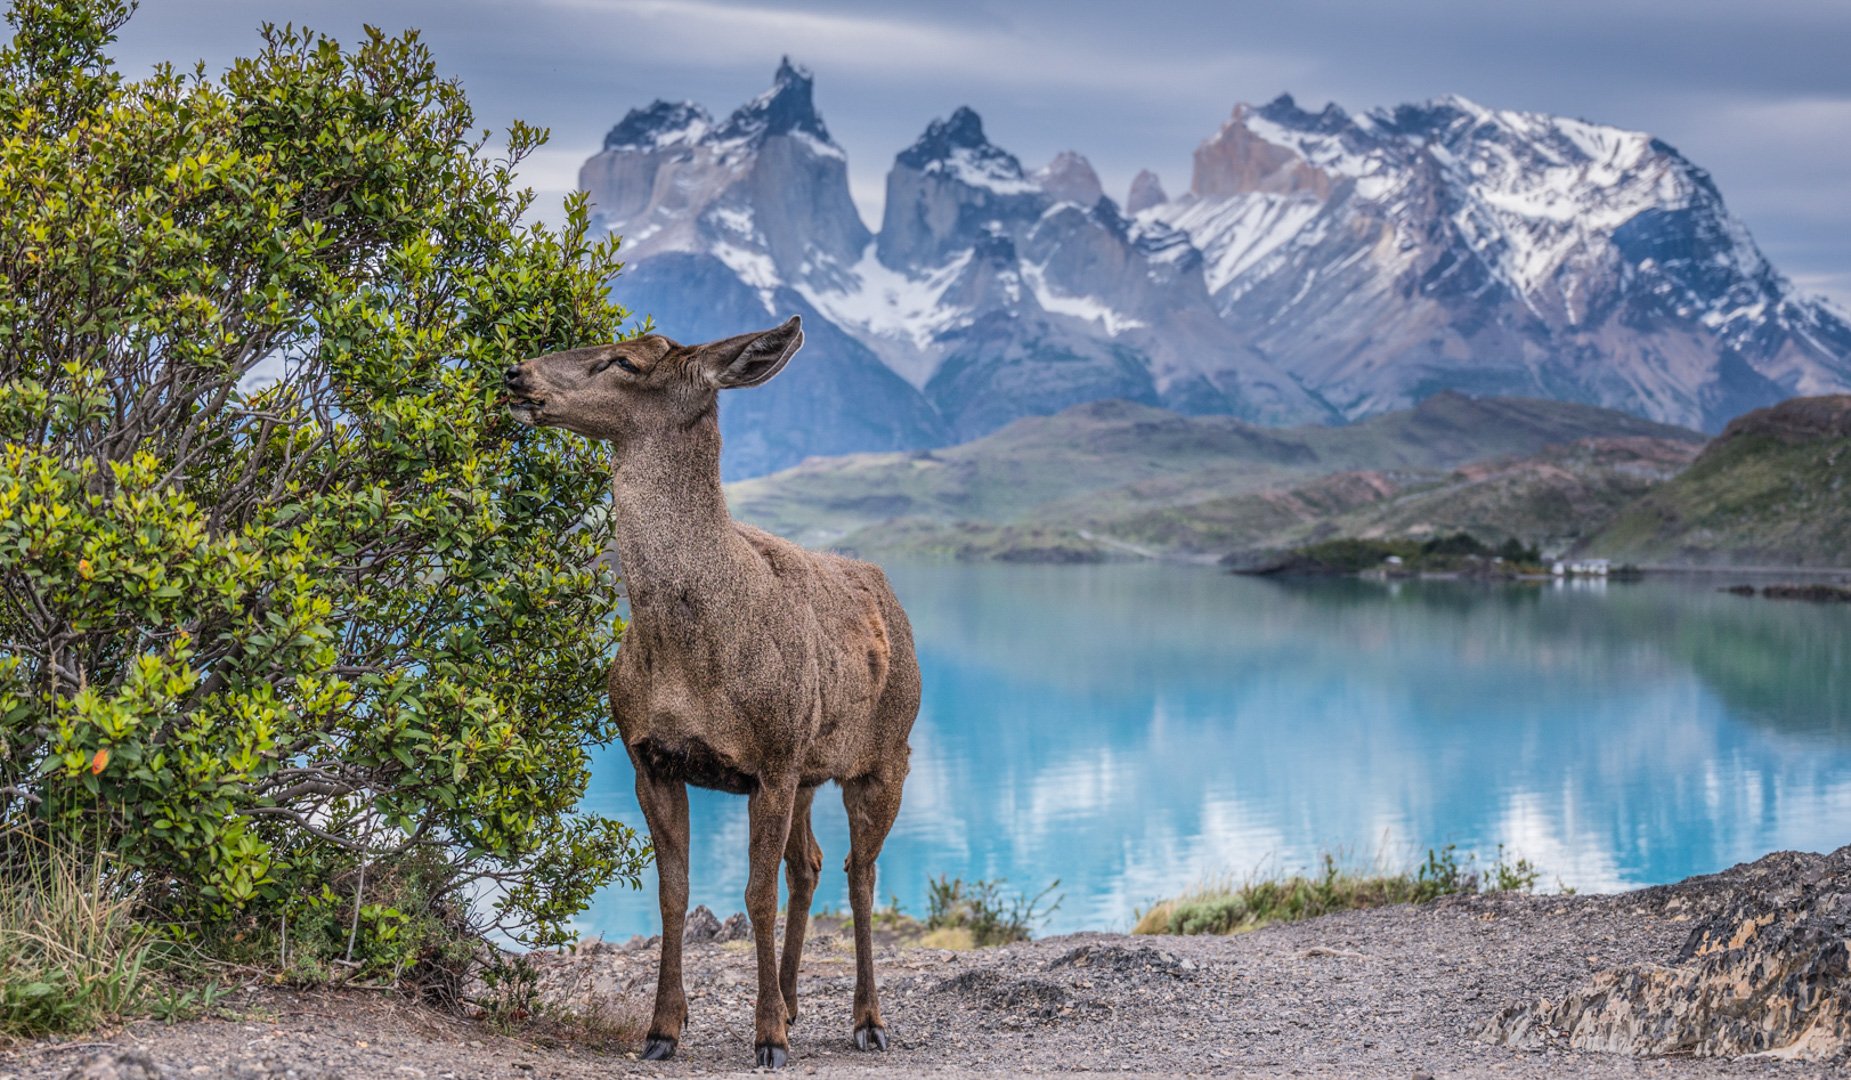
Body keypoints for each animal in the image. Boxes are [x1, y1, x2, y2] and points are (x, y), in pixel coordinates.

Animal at [503, 314, 921, 1074]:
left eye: (626, 361)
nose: (515, 373)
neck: (686, 653)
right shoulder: (652, 757)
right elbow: (674, 892)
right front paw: (664, 1029)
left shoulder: (772, 761)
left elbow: (755, 896)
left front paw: (768, 1039)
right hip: (809, 765)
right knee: (810, 865)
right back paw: (791, 999)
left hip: (882, 755)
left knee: (860, 874)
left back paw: (866, 1020)